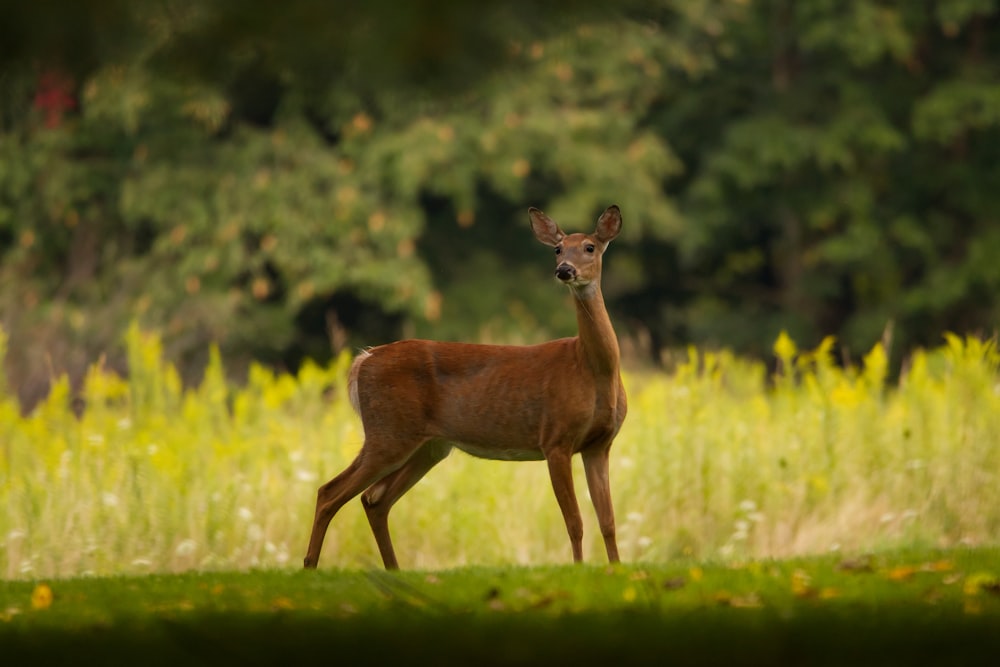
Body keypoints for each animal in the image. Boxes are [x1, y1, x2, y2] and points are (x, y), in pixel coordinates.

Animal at [302, 204, 624, 568]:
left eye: (590, 247)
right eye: (557, 249)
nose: (565, 270)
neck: (590, 367)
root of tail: (363, 360)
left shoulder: (600, 444)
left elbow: (608, 521)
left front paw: (617, 571)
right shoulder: (555, 438)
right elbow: (575, 522)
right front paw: (578, 571)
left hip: (428, 446)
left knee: (374, 498)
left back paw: (393, 571)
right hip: (388, 431)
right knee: (329, 492)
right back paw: (310, 567)